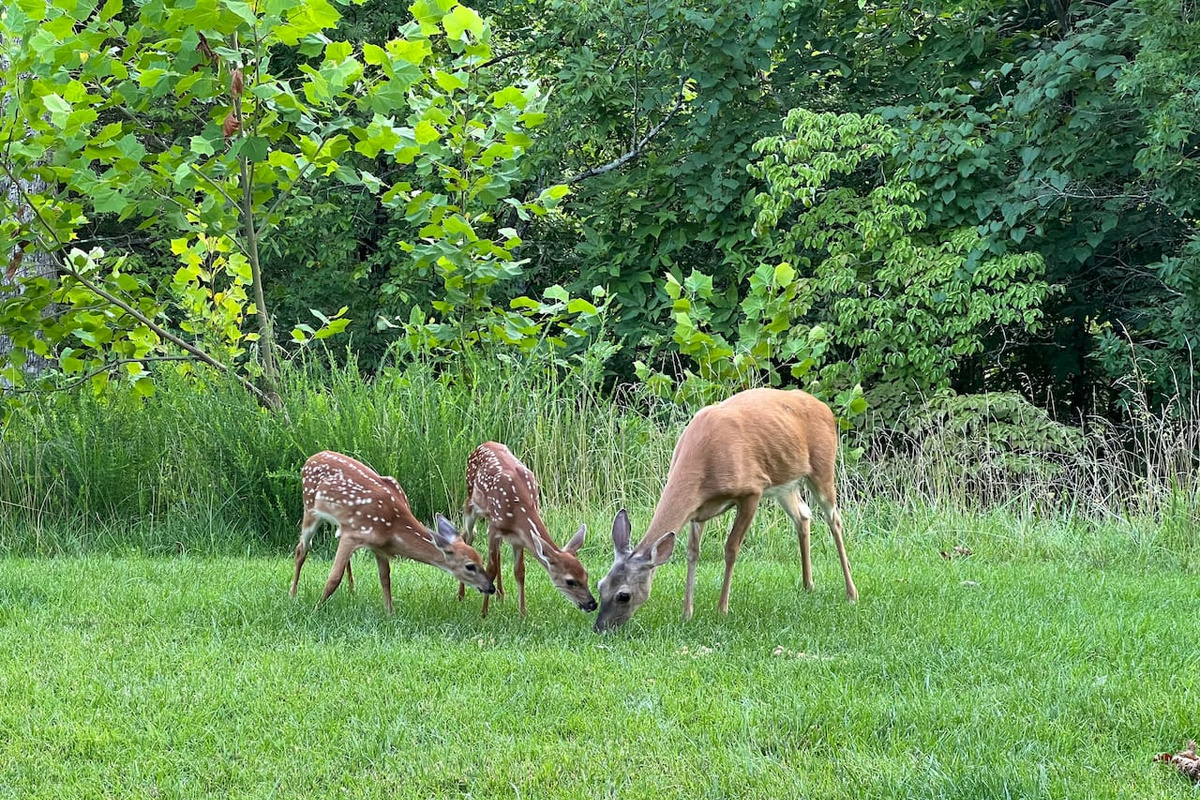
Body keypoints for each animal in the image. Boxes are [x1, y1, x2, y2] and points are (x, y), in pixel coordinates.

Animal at [290, 450, 495, 614]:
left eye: (481, 559)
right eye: (470, 566)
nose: (490, 588)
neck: (392, 526)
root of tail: (310, 459)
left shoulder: (379, 547)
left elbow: (385, 578)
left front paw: (390, 613)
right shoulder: (353, 533)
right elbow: (334, 578)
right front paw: (317, 608)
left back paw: (351, 591)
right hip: (310, 507)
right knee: (301, 549)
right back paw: (293, 595)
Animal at [458, 442, 596, 616]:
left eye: (586, 574)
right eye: (570, 581)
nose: (592, 604)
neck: (519, 510)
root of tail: (484, 444)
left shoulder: (518, 538)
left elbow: (520, 572)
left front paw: (523, 613)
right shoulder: (495, 528)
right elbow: (491, 569)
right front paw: (483, 613)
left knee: (497, 550)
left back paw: (500, 595)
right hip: (471, 503)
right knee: (468, 535)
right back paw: (461, 595)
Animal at [593, 387, 857, 633]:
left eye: (624, 595)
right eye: (600, 585)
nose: (600, 627)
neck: (703, 460)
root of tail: (825, 408)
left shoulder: (752, 490)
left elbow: (731, 548)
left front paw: (722, 609)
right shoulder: (697, 510)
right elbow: (692, 552)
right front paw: (687, 613)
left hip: (823, 468)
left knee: (834, 519)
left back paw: (851, 592)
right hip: (784, 484)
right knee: (803, 515)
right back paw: (808, 585)